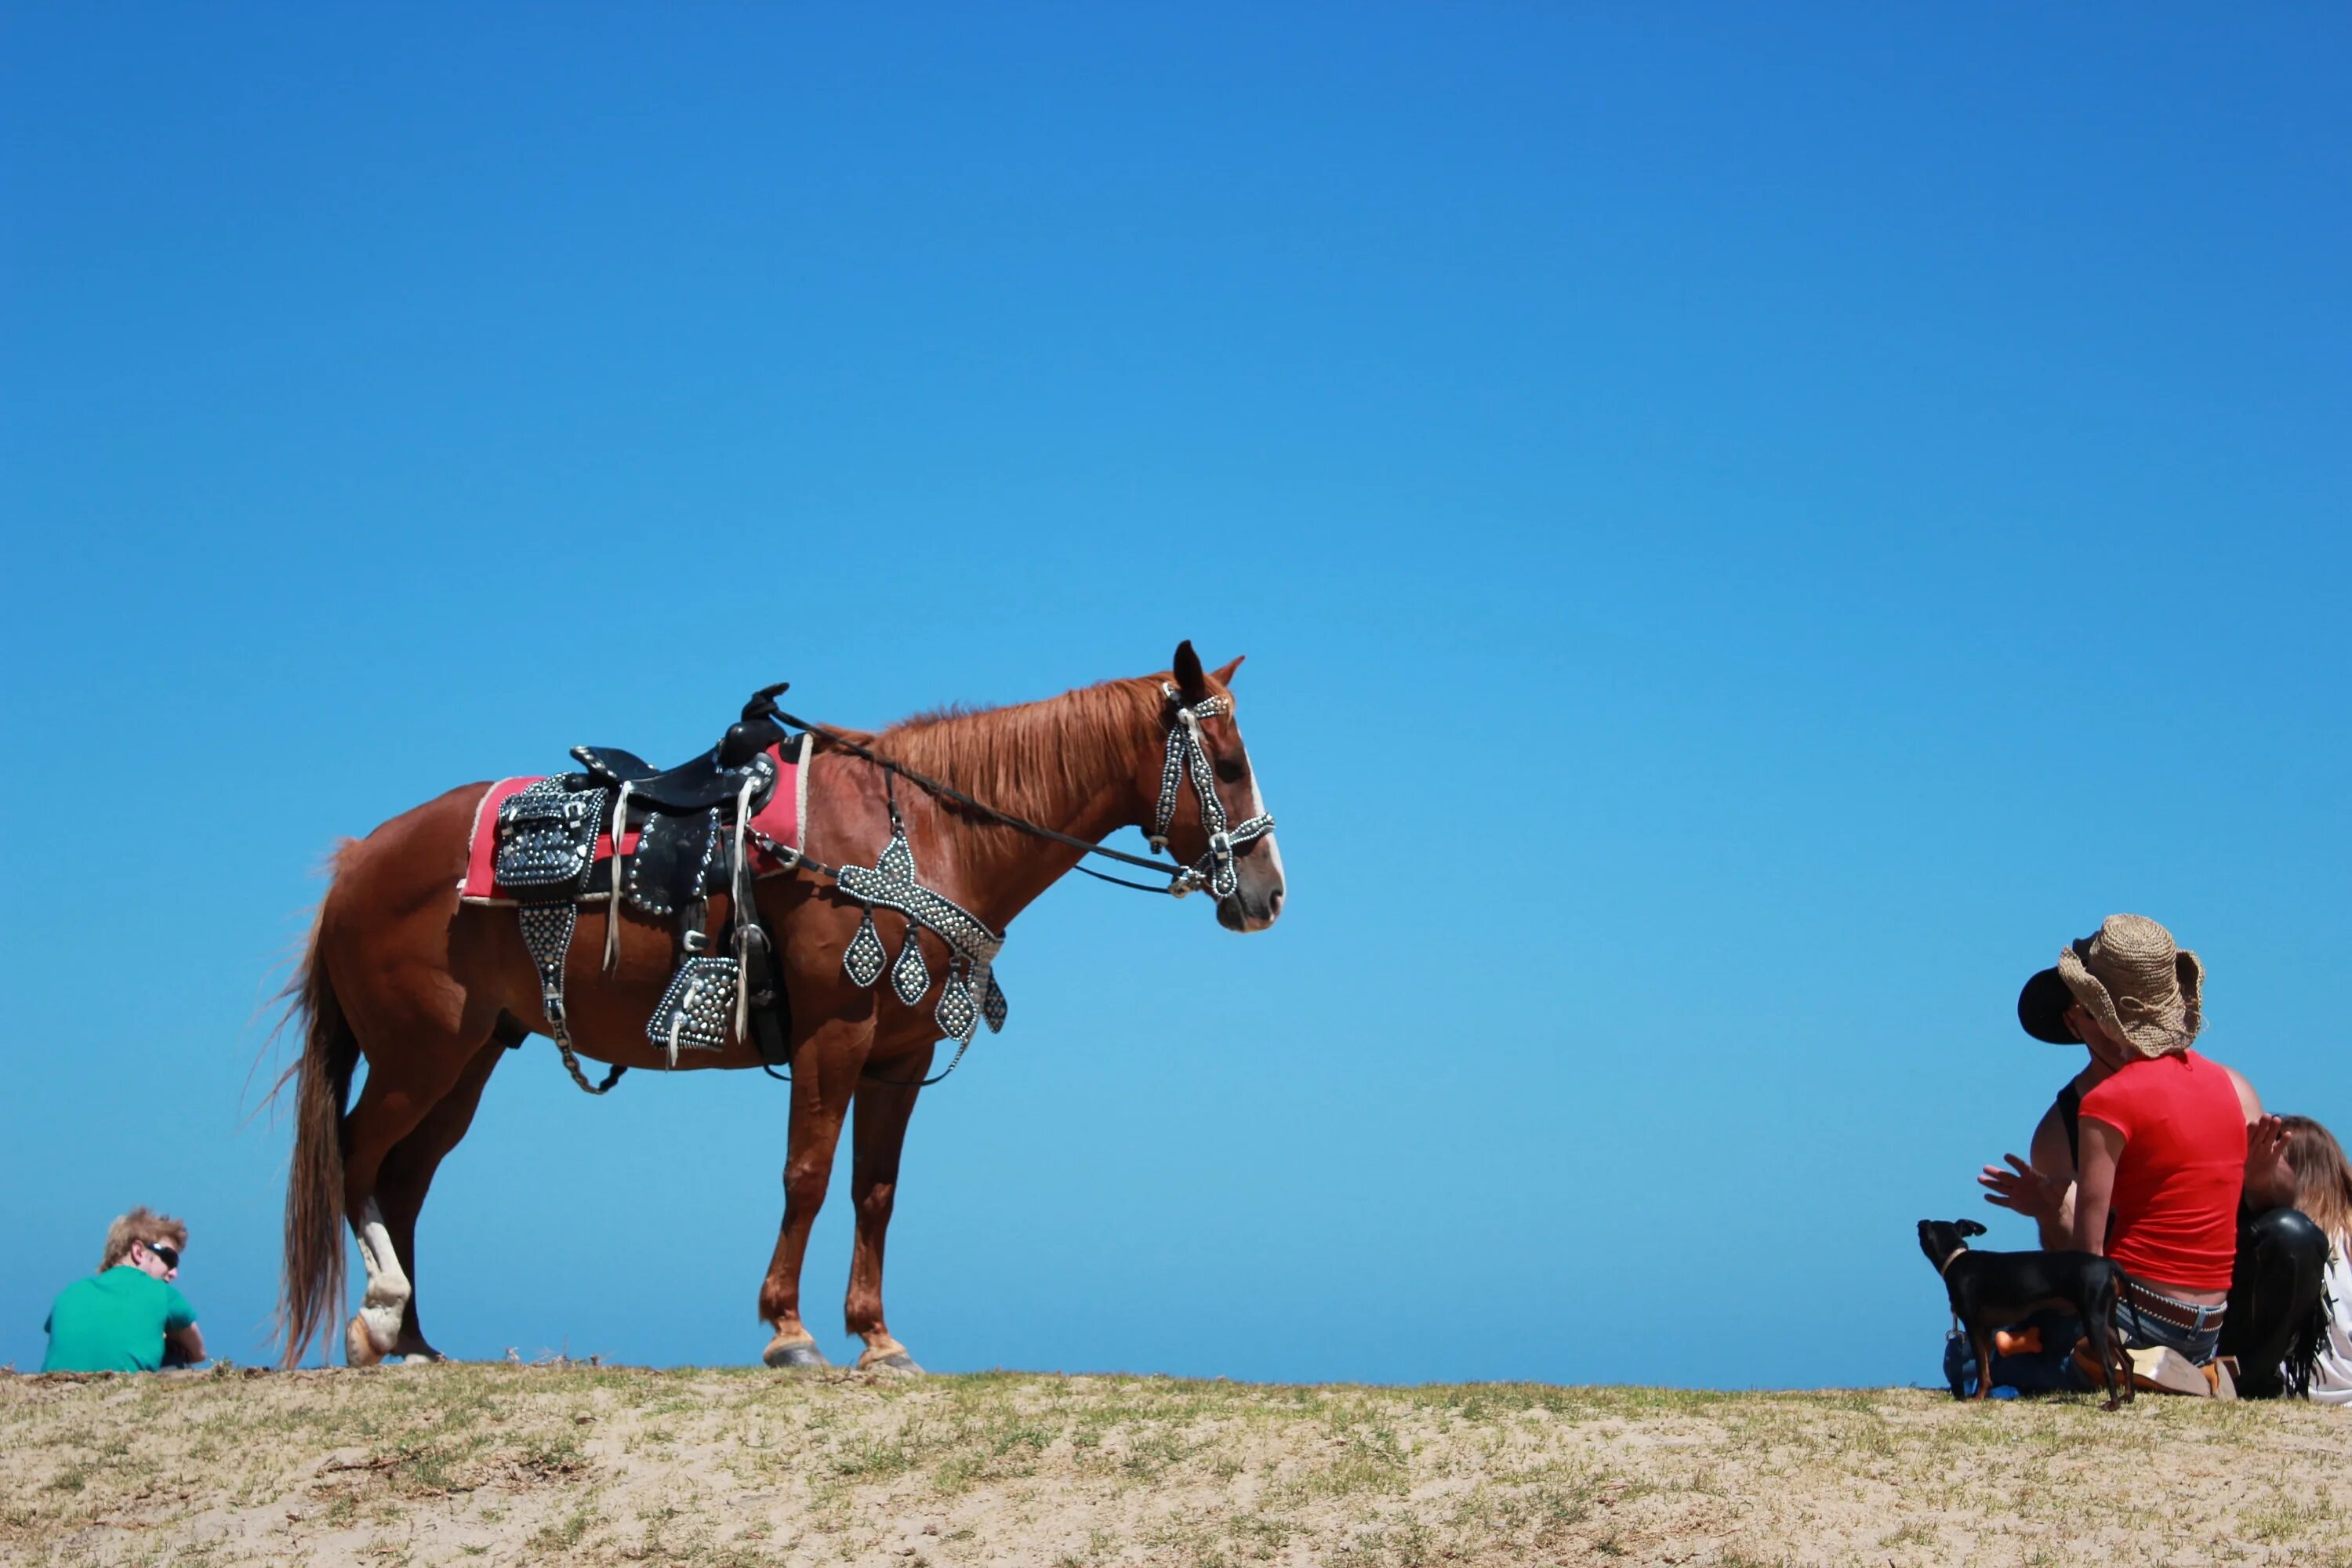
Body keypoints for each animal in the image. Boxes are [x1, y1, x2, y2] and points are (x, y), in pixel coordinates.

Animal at [275, 644, 1289, 1363]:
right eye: (1228, 761)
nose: (1269, 892)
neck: (921, 831)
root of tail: (360, 860)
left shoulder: (899, 1056)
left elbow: (875, 1190)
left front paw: (876, 1337)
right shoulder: (832, 1037)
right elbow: (806, 1173)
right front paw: (788, 1329)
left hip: (470, 1055)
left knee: (408, 1174)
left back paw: (414, 1341)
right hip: (417, 1054)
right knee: (358, 1157)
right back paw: (378, 1318)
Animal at [1919, 1213, 2145, 1410]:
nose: (1919, 1224)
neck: (1957, 1259)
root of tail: (2107, 1264)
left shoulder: (1974, 1327)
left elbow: (1982, 1369)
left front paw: (1977, 1399)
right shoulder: (1987, 1331)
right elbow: (1986, 1371)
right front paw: (1984, 1394)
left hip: (2092, 1322)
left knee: (2108, 1365)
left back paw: (2113, 1404)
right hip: (2107, 1323)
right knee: (2127, 1361)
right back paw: (2128, 1397)